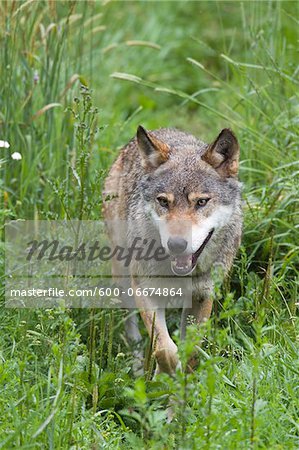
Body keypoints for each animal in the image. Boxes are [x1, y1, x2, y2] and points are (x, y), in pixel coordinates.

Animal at [103, 125, 244, 374]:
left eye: (201, 202)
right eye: (163, 202)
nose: (176, 245)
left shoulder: (203, 295)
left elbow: (192, 350)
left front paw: (182, 380)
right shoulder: (145, 290)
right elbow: (164, 349)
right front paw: (166, 373)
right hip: (123, 279)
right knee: (132, 331)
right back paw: (138, 368)